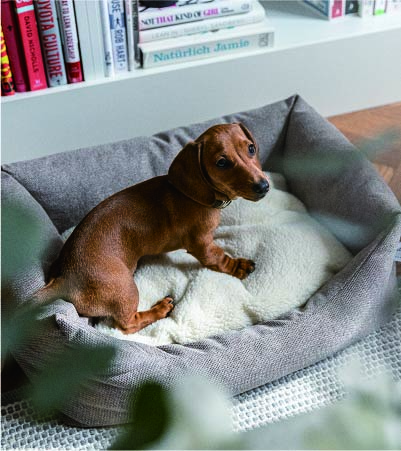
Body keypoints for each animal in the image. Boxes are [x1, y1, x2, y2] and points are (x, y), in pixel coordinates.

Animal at [33, 123, 269, 334]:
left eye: (251, 148)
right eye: (222, 162)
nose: (264, 186)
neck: (192, 194)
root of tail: (64, 280)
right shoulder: (201, 243)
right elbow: (217, 258)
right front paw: (238, 266)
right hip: (125, 288)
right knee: (127, 325)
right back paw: (160, 309)